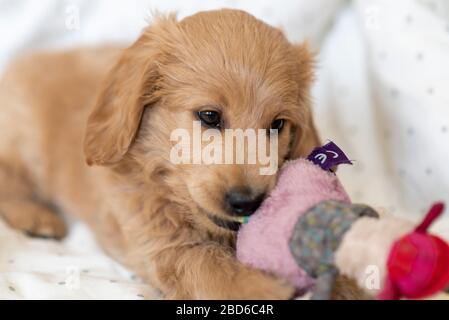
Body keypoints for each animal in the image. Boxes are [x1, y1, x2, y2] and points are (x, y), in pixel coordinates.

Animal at [0, 10, 358, 298]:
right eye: (209, 116)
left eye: (278, 124)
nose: (246, 202)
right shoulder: (160, 244)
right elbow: (207, 265)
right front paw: (267, 287)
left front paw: (346, 283)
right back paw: (36, 216)